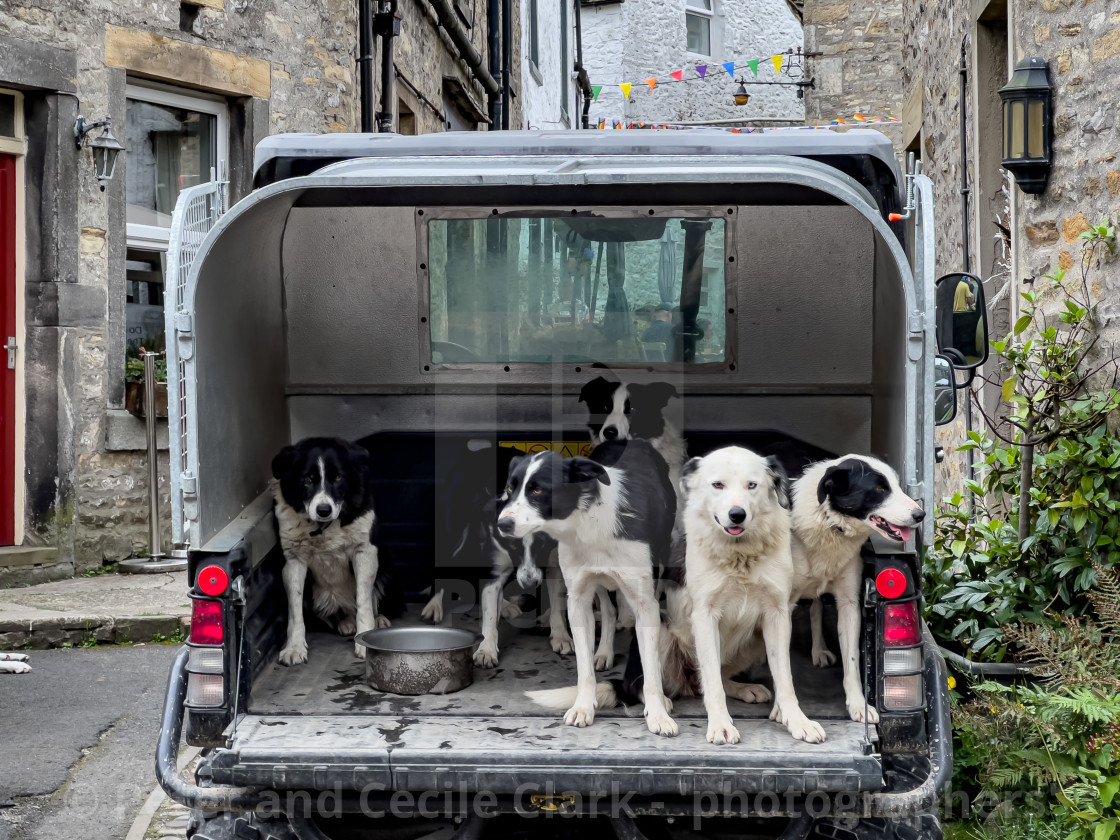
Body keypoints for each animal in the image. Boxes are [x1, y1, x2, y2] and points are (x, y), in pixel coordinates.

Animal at [272, 436, 403, 667]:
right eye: (308, 479)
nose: (324, 510)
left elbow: (364, 601)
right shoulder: (293, 561)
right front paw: (294, 647)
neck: (324, 526)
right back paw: (345, 621)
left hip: (387, 566)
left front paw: (365, 642)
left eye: (339, 477)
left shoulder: (365, 551)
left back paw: (378, 620)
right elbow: (295, 611)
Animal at [497, 441, 672, 734]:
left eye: (538, 490)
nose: (502, 524)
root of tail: (631, 440)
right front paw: (583, 706)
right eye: (510, 489)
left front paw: (657, 713)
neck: (589, 525)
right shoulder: (578, 600)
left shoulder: (646, 604)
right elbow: (584, 669)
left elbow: (649, 667)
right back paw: (603, 652)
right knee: (608, 610)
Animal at [797, 456, 927, 725]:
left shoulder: (849, 604)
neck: (828, 523)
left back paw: (819, 649)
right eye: (879, 488)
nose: (921, 514)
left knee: (815, 608)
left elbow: (852, 661)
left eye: (897, 485)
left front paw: (858, 705)